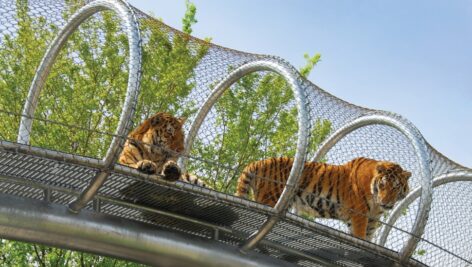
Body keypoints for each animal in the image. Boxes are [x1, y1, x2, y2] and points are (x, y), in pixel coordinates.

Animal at [236, 157, 410, 241]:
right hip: (270, 199)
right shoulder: (359, 216)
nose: (386, 203)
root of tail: (259, 162)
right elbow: (359, 237)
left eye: (396, 187)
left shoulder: (372, 222)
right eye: (382, 185)